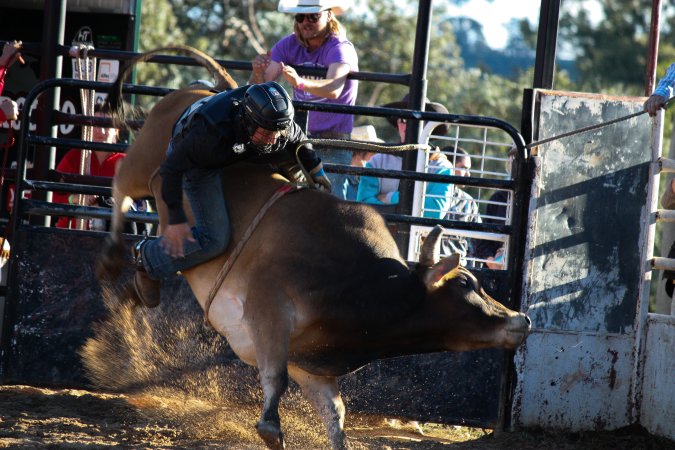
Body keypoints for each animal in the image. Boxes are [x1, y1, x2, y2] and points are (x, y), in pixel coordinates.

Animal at [97, 46, 531, 450]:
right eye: (466, 285)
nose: (522, 320)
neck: (359, 283)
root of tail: (200, 94)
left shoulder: (310, 359)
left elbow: (333, 411)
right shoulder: (269, 313)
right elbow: (275, 380)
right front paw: (271, 430)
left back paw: (140, 284)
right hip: (148, 164)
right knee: (122, 186)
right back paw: (113, 256)